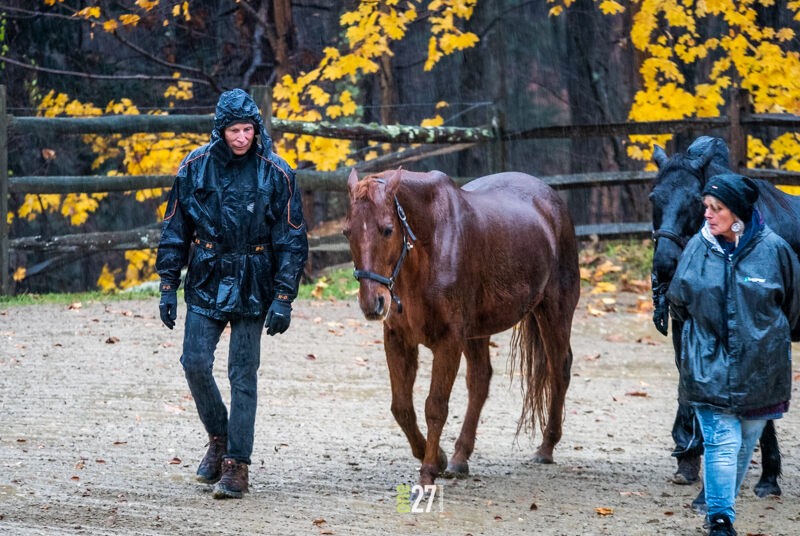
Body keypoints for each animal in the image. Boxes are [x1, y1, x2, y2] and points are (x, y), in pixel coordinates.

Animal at [342, 170, 576, 488]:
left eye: (388, 229)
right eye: (347, 232)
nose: (372, 303)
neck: (429, 247)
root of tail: (550, 200)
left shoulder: (448, 341)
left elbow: (435, 407)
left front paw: (428, 472)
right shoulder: (398, 340)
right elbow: (401, 407)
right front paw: (439, 458)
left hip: (554, 312)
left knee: (558, 370)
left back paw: (546, 447)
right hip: (477, 333)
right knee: (480, 380)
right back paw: (460, 457)